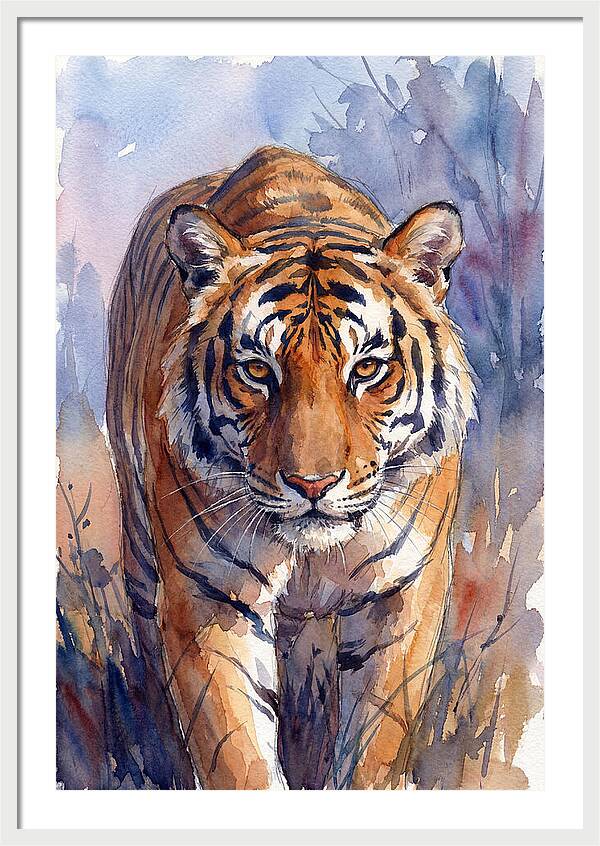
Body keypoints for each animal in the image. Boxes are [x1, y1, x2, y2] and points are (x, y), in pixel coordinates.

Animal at [106, 145, 476, 790]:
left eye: (367, 369)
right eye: (258, 371)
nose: (312, 484)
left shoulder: (405, 594)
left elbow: (376, 742)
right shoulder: (209, 597)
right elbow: (237, 756)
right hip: (139, 545)